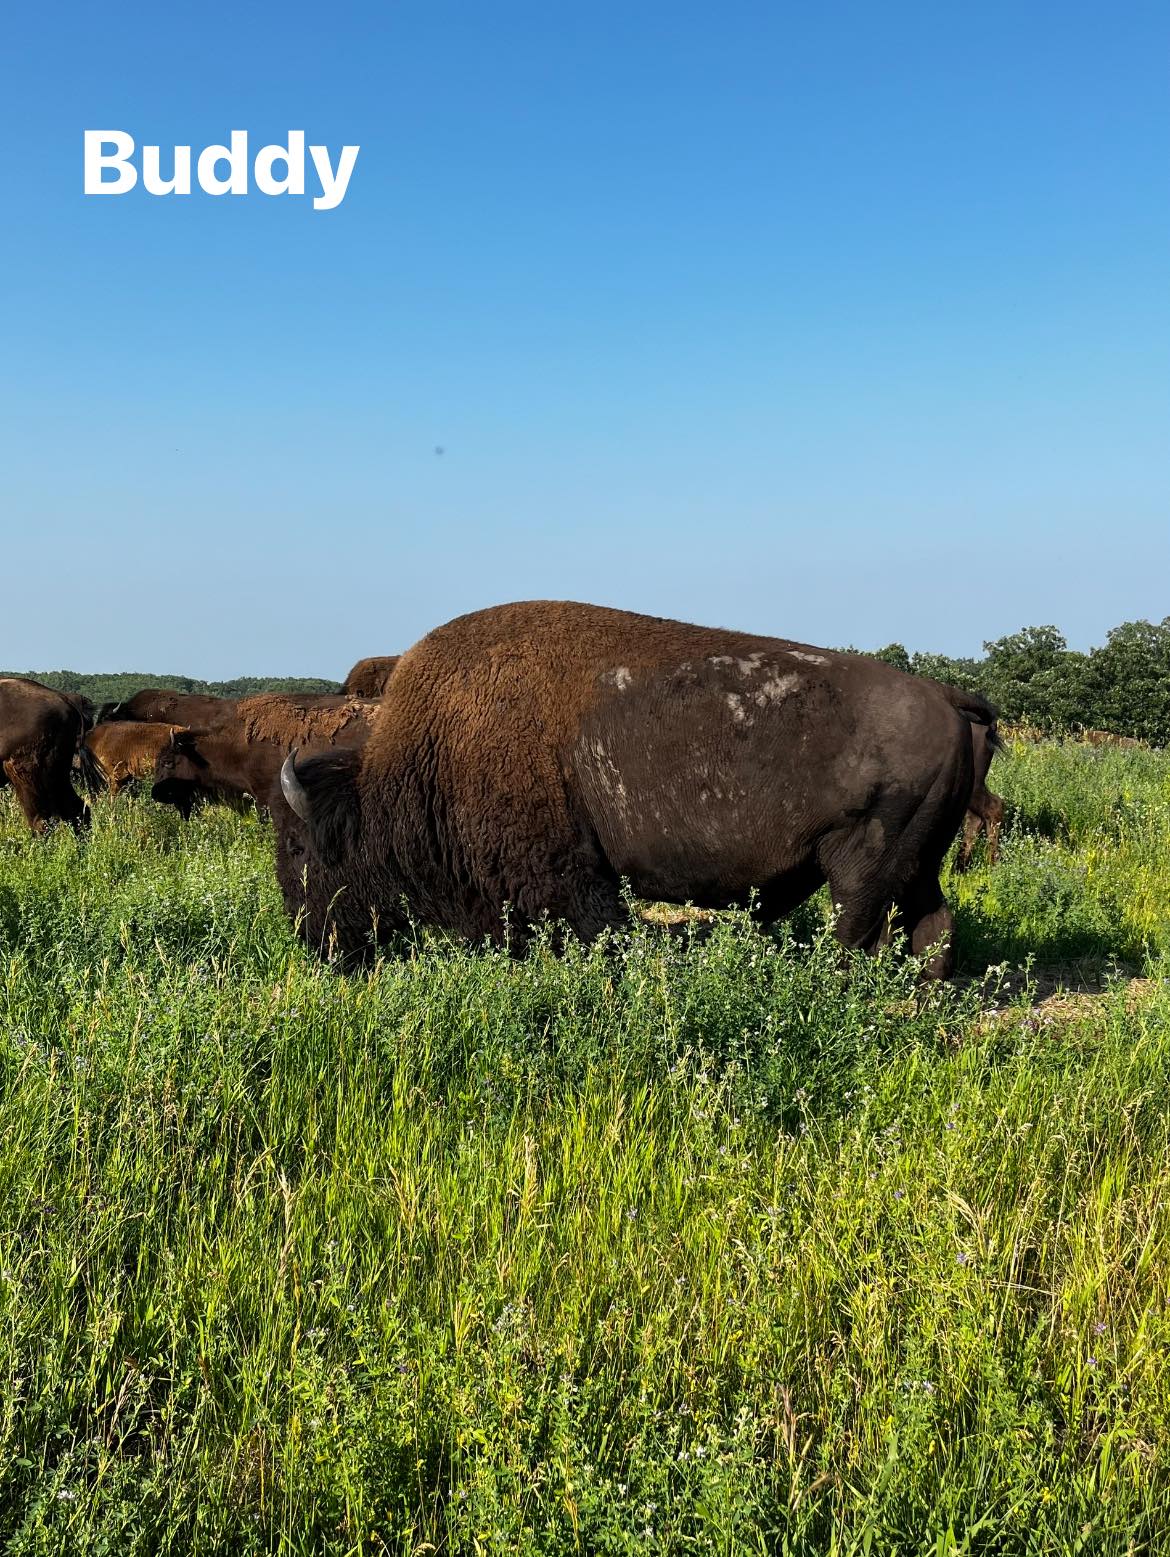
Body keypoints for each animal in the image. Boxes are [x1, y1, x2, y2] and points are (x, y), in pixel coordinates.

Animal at [276, 600, 1001, 978]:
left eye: (301, 850)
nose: (312, 941)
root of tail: (944, 695)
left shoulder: (569, 881)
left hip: (861, 866)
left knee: (859, 933)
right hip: (917, 864)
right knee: (932, 927)